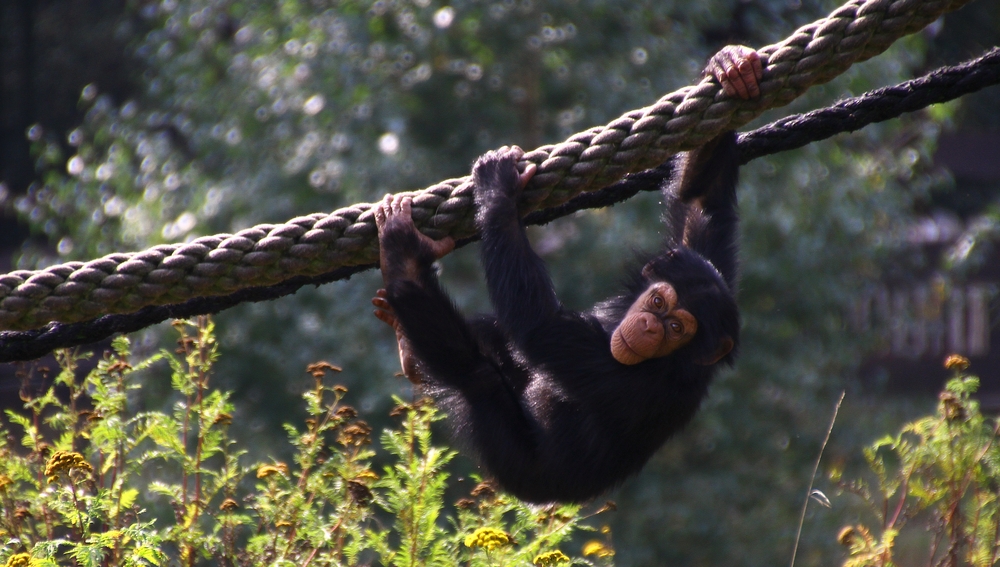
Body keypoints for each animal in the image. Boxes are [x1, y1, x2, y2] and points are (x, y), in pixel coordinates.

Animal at [372, 46, 760, 504]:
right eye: (658, 302)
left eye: (678, 328)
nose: (651, 325)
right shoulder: (702, 264)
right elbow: (699, 200)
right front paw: (731, 67)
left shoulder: (622, 380)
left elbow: (539, 325)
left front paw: (499, 189)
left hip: (514, 463)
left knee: (475, 373)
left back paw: (403, 260)